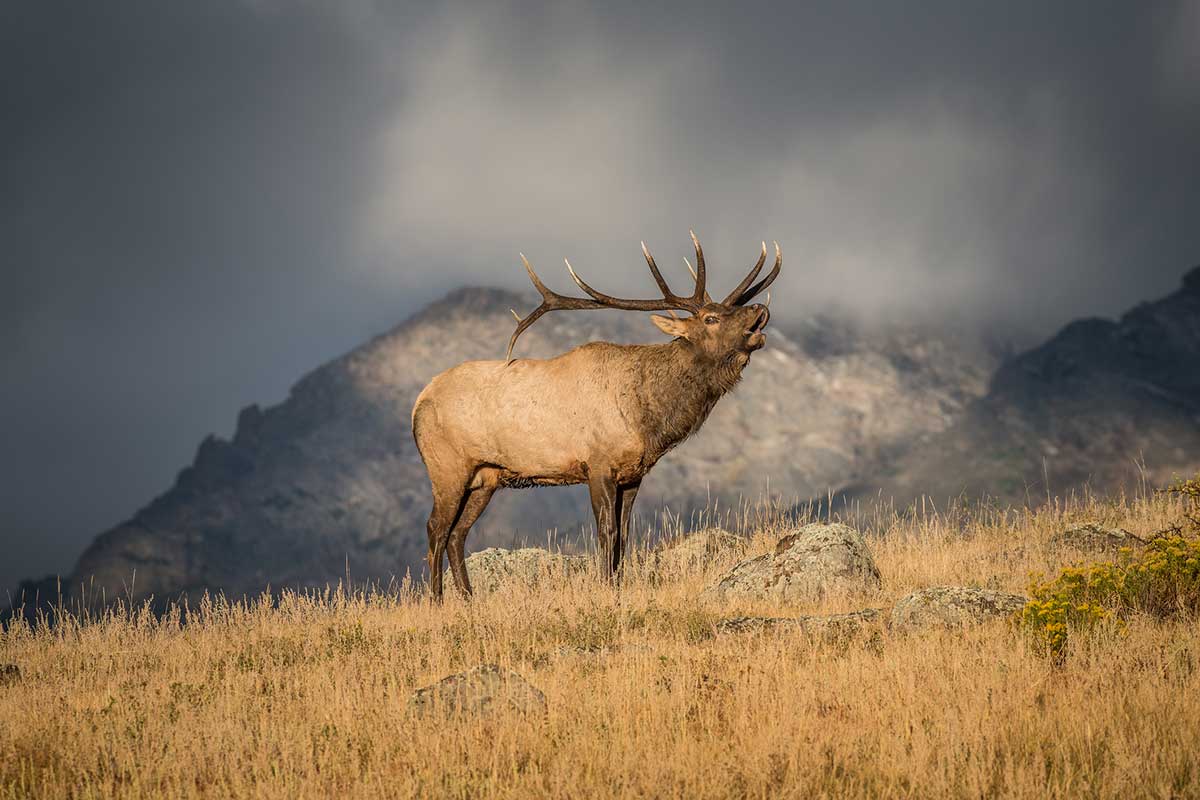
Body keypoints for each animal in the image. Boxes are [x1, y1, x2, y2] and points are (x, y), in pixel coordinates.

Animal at [411, 232, 780, 599]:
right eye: (710, 318)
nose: (759, 308)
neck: (647, 419)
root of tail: (418, 403)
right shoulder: (598, 464)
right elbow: (607, 533)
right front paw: (605, 588)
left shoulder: (633, 475)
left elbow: (624, 536)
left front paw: (617, 586)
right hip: (446, 467)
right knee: (435, 529)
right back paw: (437, 601)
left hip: (485, 477)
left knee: (457, 534)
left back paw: (468, 598)